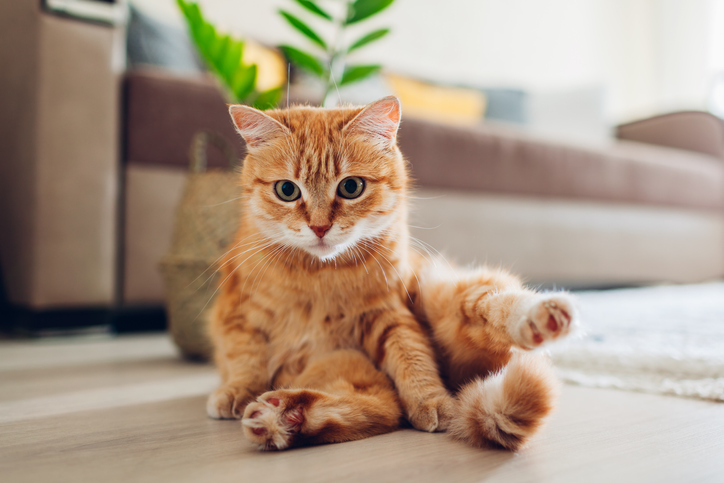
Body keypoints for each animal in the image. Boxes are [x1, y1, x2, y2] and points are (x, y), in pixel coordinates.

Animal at [205, 96, 576, 452]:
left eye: (351, 187)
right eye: (287, 190)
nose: (320, 227)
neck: (319, 276)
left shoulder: (389, 315)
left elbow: (412, 356)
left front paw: (430, 399)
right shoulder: (237, 315)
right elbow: (245, 357)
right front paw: (237, 390)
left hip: (440, 297)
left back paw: (542, 317)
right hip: (345, 364)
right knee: (374, 408)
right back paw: (282, 418)